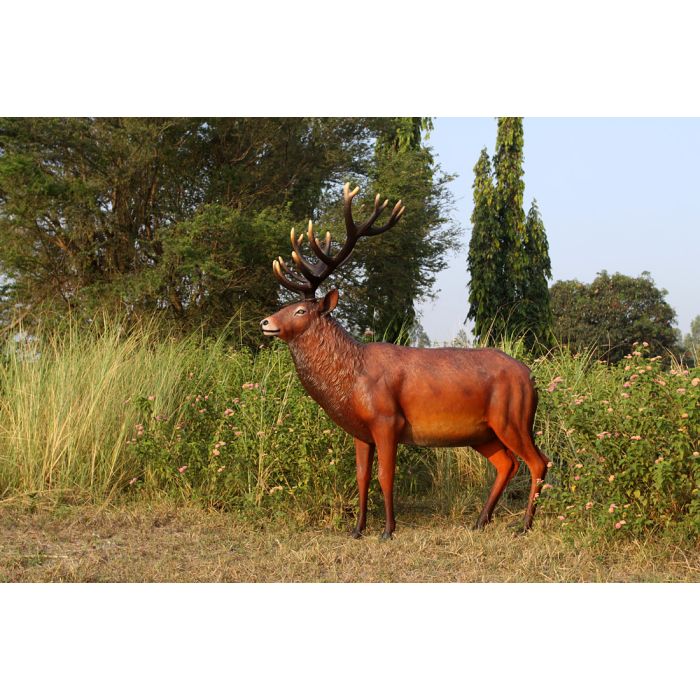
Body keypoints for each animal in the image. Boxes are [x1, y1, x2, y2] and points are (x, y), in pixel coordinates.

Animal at [260, 183, 551, 540]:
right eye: (287, 305)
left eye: (301, 310)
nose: (266, 322)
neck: (349, 382)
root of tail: (531, 378)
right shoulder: (361, 431)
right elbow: (361, 477)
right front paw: (357, 529)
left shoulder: (388, 420)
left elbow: (385, 476)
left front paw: (388, 529)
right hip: (484, 432)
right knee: (507, 463)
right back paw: (481, 520)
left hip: (513, 416)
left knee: (538, 461)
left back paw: (524, 525)